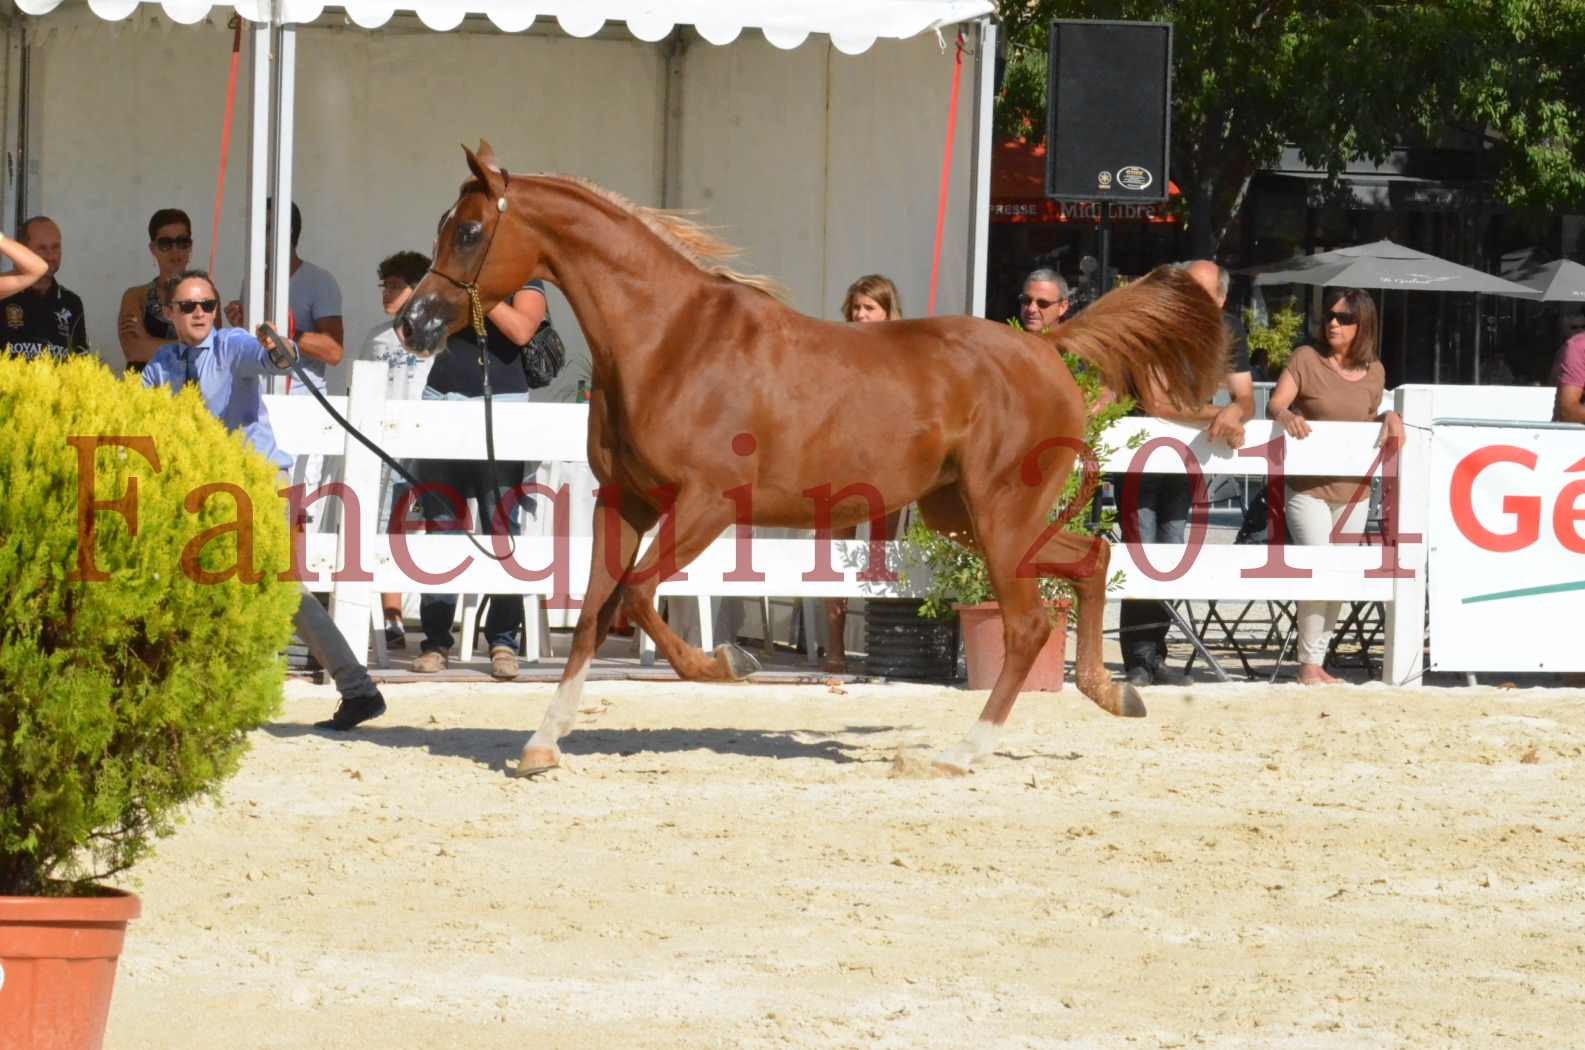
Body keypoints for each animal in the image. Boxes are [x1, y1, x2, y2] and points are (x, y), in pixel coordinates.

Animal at [399, 144, 1223, 777]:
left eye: (468, 231)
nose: (414, 323)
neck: (668, 341)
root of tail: (1046, 348)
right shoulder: (622, 502)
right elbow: (599, 612)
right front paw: (542, 745)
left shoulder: (706, 505)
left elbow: (634, 597)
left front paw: (728, 663)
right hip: (963, 515)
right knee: (1090, 558)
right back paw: (1112, 693)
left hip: (1000, 516)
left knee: (1027, 622)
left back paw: (964, 753)